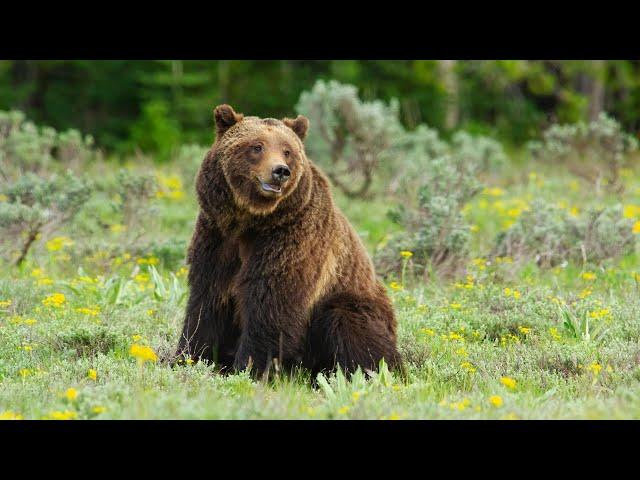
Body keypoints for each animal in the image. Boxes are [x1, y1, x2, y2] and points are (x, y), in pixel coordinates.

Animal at [175, 105, 400, 378]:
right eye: (257, 146)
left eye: (287, 151)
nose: (280, 171)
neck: (251, 221)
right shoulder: (217, 238)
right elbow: (207, 302)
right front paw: (187, 357)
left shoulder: (290, 239)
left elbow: (272, 303)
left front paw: (249, 368)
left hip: (353, 301)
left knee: (350, 327)